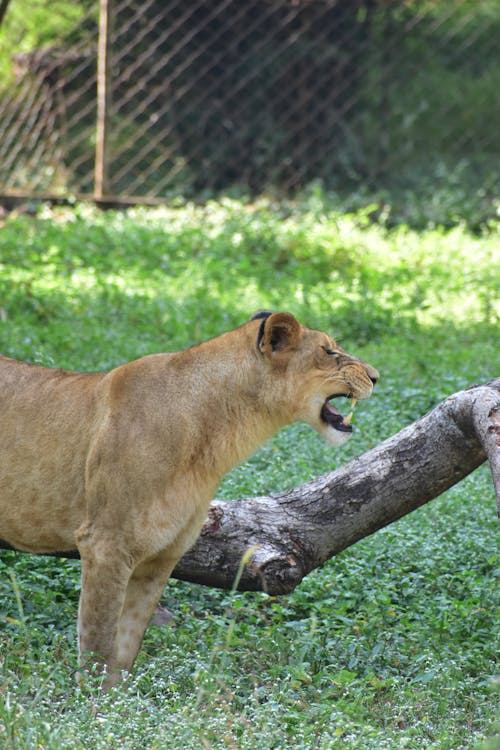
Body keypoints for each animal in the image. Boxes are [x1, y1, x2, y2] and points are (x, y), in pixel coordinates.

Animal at [0, 312, 376, 688]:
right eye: (329, 351)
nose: (375, 376)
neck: (216, 433)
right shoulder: (105, 543)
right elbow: (98, 642)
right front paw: (90, 701)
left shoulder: (160, 556)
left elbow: (125, 644)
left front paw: (119, 701)